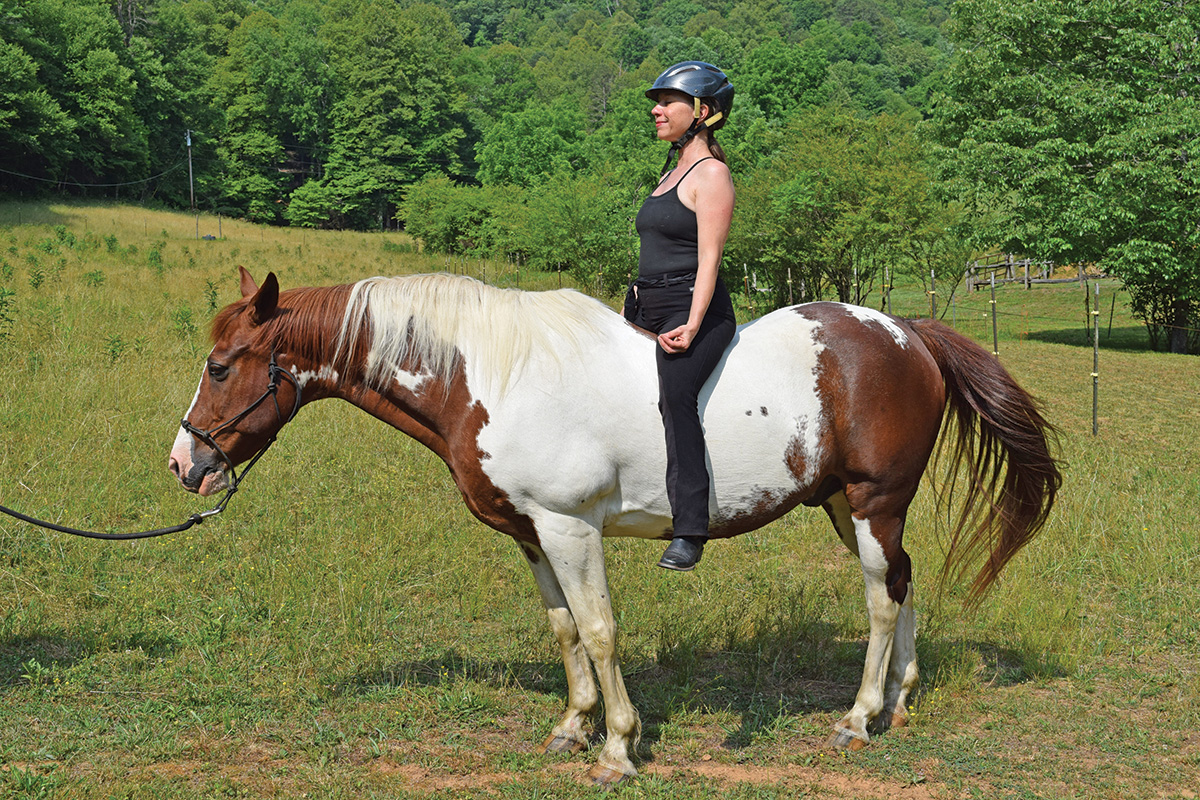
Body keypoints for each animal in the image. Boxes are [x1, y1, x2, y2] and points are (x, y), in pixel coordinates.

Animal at [171, 271, 1060, 786]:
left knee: (879, 600)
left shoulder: (571, 529)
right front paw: (573, 725)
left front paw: (618, 748)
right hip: (849, 507)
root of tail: (908, 334)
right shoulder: (531, 534)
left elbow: (599, 630)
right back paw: (901, 702)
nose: (186, 463)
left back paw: (858, 716)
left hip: (875, 501)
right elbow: (565, 628)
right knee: (904, 582)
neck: (494, 375)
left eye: (220, 366)